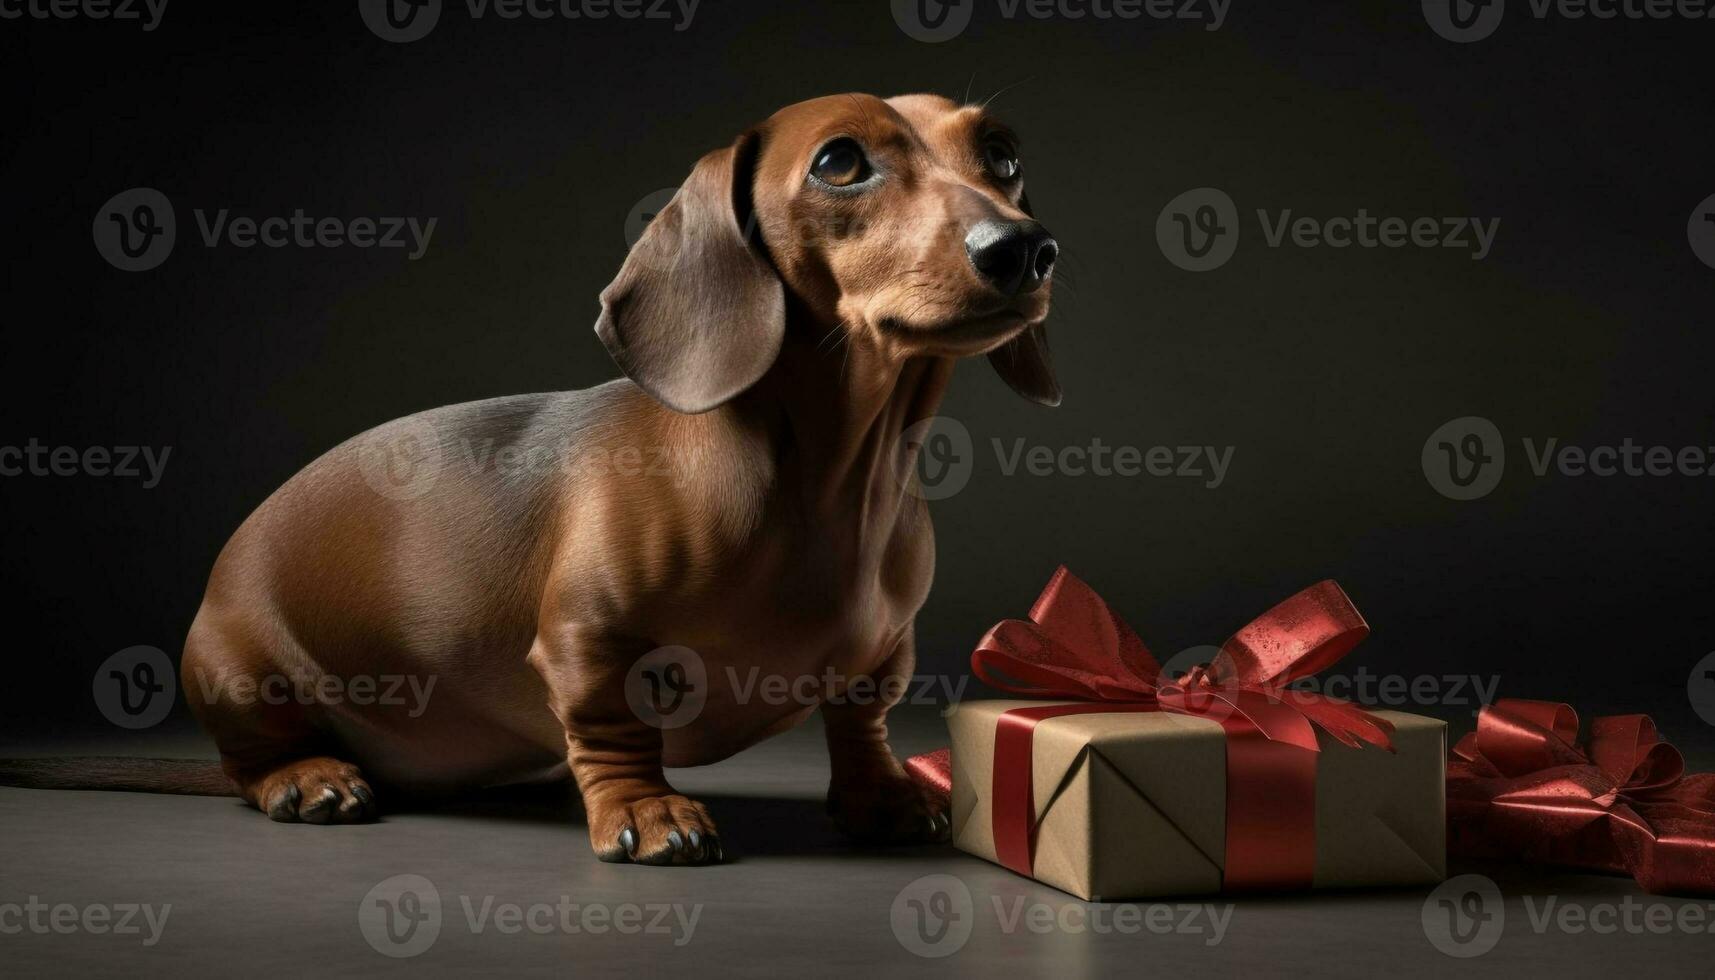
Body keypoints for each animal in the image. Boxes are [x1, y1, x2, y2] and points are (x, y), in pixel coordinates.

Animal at [3, 93, 1056, 865]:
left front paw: (883, 797)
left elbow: (861, 723)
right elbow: (613, 725)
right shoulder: (588, 639)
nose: (1023, 249)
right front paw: (648, 812)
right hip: (235, 670)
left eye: (1001, 153)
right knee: (249, 762)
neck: (831, 478)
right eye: (841, 162)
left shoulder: (884, 656)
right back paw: (308, 778)